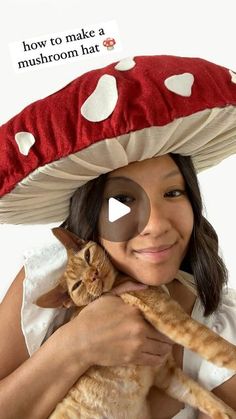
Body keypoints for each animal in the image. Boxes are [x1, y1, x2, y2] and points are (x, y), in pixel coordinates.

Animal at [35, 230, 236, 419]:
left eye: (87, 256)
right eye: (77, 285)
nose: (93, 275)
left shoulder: (165, 372)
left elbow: (203, 395)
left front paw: (228, 412)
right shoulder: (174, 319)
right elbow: (222, 348)